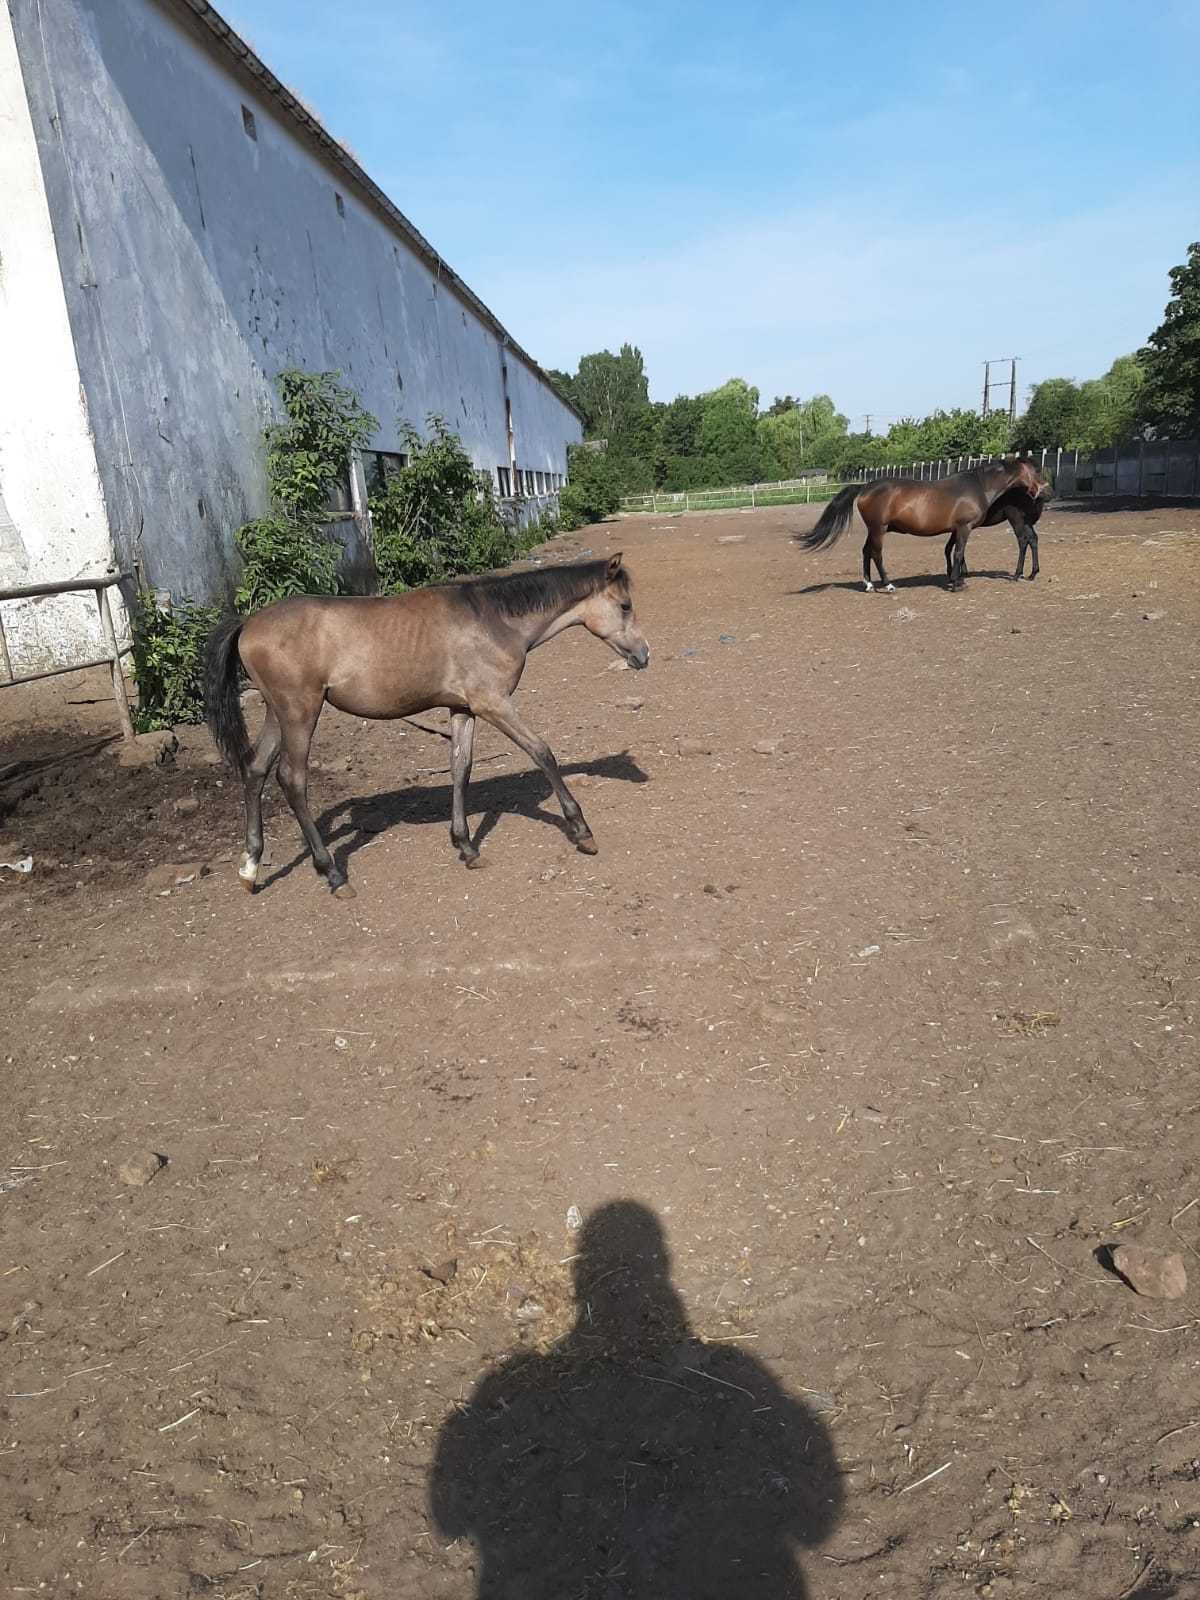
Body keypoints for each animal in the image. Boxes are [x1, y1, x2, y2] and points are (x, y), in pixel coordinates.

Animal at [209, 556, 659, 896]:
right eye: (624, 606)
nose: (643, 655)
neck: (493, 620)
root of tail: (248, 624)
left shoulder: (463, 709)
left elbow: (461, 769)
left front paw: (467, 847)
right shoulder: (493, 703)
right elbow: (542, 752)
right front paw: (582, 831)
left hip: (278, 713)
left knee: (255, 770)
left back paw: (250, 868)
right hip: (300, 712)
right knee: (292, 779)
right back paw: (333, 874)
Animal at [803, 457, 1049, 595]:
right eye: (1036, 470)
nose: (1046, 492)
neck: (978, 485)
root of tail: (865, 487)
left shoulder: (956, 529)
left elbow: (954, 553)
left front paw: (956, 579)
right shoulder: (964, 527)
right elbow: (958, 553)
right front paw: (957, 584)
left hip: (874, 530)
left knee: (866, 552)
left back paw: (869, 585)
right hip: (878, 529)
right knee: (877, 554)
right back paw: (888, 585)